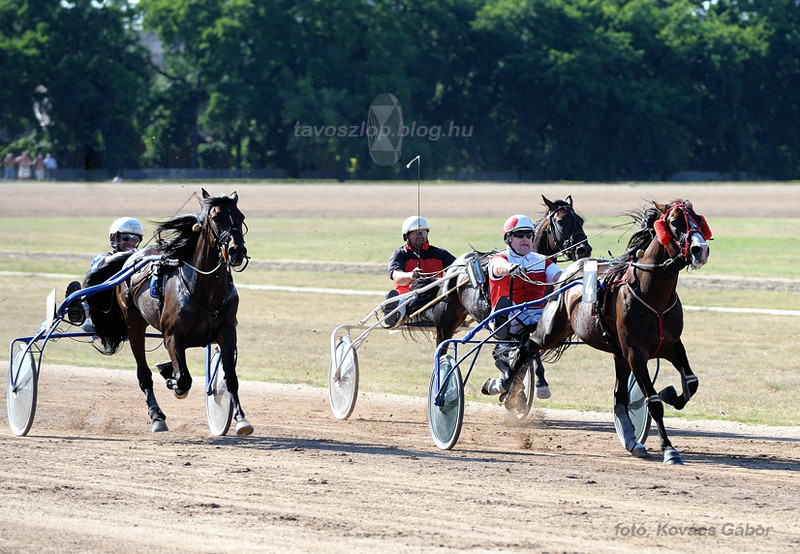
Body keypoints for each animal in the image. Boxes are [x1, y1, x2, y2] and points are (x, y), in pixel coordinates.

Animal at [86, 188, 252, 434]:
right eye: (215, 218)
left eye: (240, 217)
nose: (236, 251)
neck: (205, 290)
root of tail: (133, 256)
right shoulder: (173, 336)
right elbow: (183, 379)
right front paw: (173, 382)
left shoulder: (227, 332)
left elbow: (230, 377)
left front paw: (241, 420)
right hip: (134, 324)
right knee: (144, 374)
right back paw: (157, 416)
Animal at [524, 198, 712, 462]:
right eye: (675, 221)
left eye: (698, 218)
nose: (700, 250)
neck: (652, 296)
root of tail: (569, 272)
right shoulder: (636, 353)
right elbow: (653, 402)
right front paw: (669, 448)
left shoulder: (673, 346)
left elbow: (691, 384)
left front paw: (670, 393)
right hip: (550, 331)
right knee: (526, 348)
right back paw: (507, 387)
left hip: (618, 354)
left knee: (619, 396)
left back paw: (632, 440)